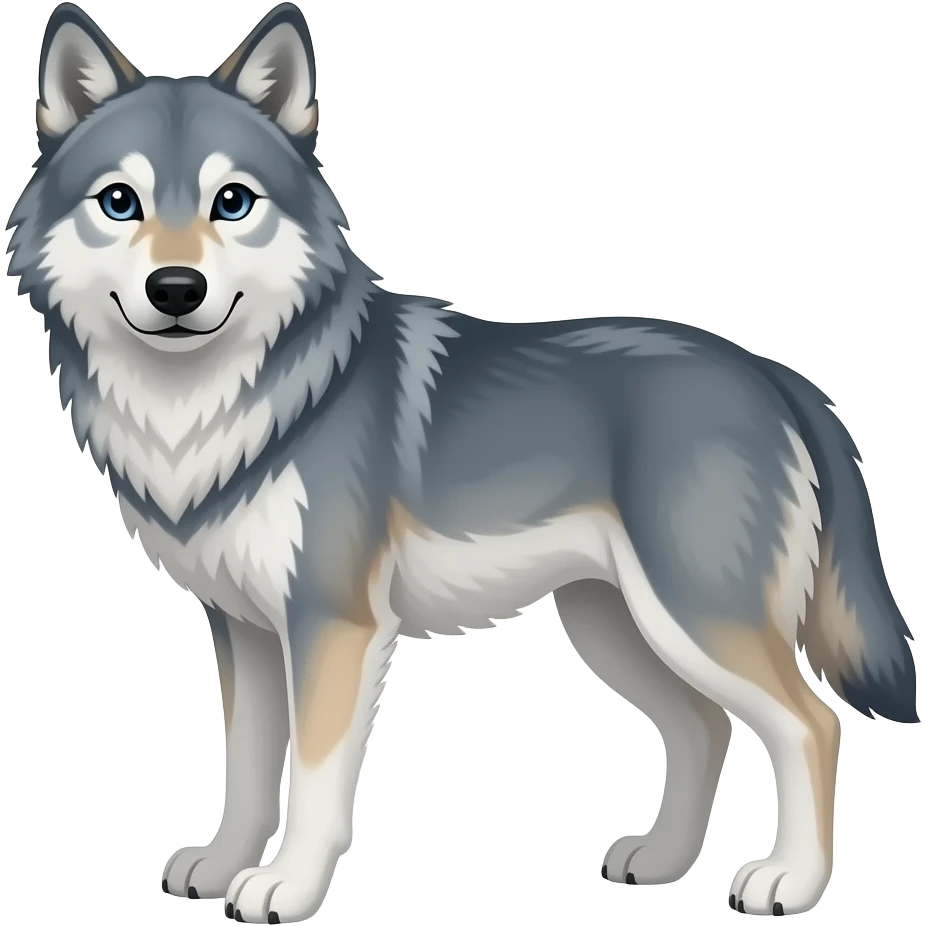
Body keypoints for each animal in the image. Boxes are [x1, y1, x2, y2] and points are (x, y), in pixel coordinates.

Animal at [6, 2, 919, 922]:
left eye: (232, 202)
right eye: (119, 202)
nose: (176, 289)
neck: (209, 409)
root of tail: (775, 375)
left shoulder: (334, 625)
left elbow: (315, 778)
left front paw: (288, 886)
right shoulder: (245, 630)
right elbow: (251, 770)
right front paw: (225, 866)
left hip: (692, 617)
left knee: (810, 723)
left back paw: (790, 880)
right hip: (615, 625)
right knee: (706, 726)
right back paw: (661, 860)